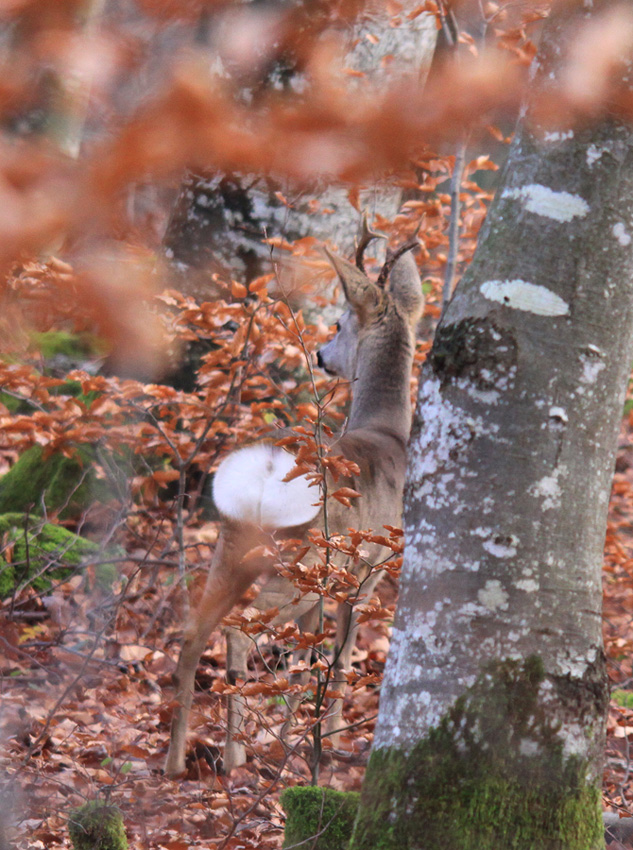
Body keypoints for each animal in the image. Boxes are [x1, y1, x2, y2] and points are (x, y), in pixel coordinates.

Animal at [164, 225, 424, 776]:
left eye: (338, 323)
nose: (323, 356)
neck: (389, 433)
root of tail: (261, 477)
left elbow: (309, 657)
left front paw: (296, 737)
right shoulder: (368, 569)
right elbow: (341, 655)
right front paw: (329, 736)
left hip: (234, 547)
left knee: (194, 629)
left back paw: (176, 762)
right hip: (302, 559)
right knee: (239, 632)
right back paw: (235, 756)